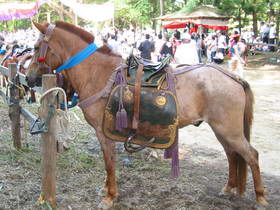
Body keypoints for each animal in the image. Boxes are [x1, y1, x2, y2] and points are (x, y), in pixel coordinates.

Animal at [25, 21, 266, 210]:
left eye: (36, 47)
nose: (28, 78)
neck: (98, 73)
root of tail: (233, 77)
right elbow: (109, 163)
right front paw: (106, 190)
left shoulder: (104, 133)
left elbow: (109, 162)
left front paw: (110, 196)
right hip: (222, 130)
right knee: (232, 155)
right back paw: (229, 188)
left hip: (229, 130)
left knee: (251, 155)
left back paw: (260, 198)